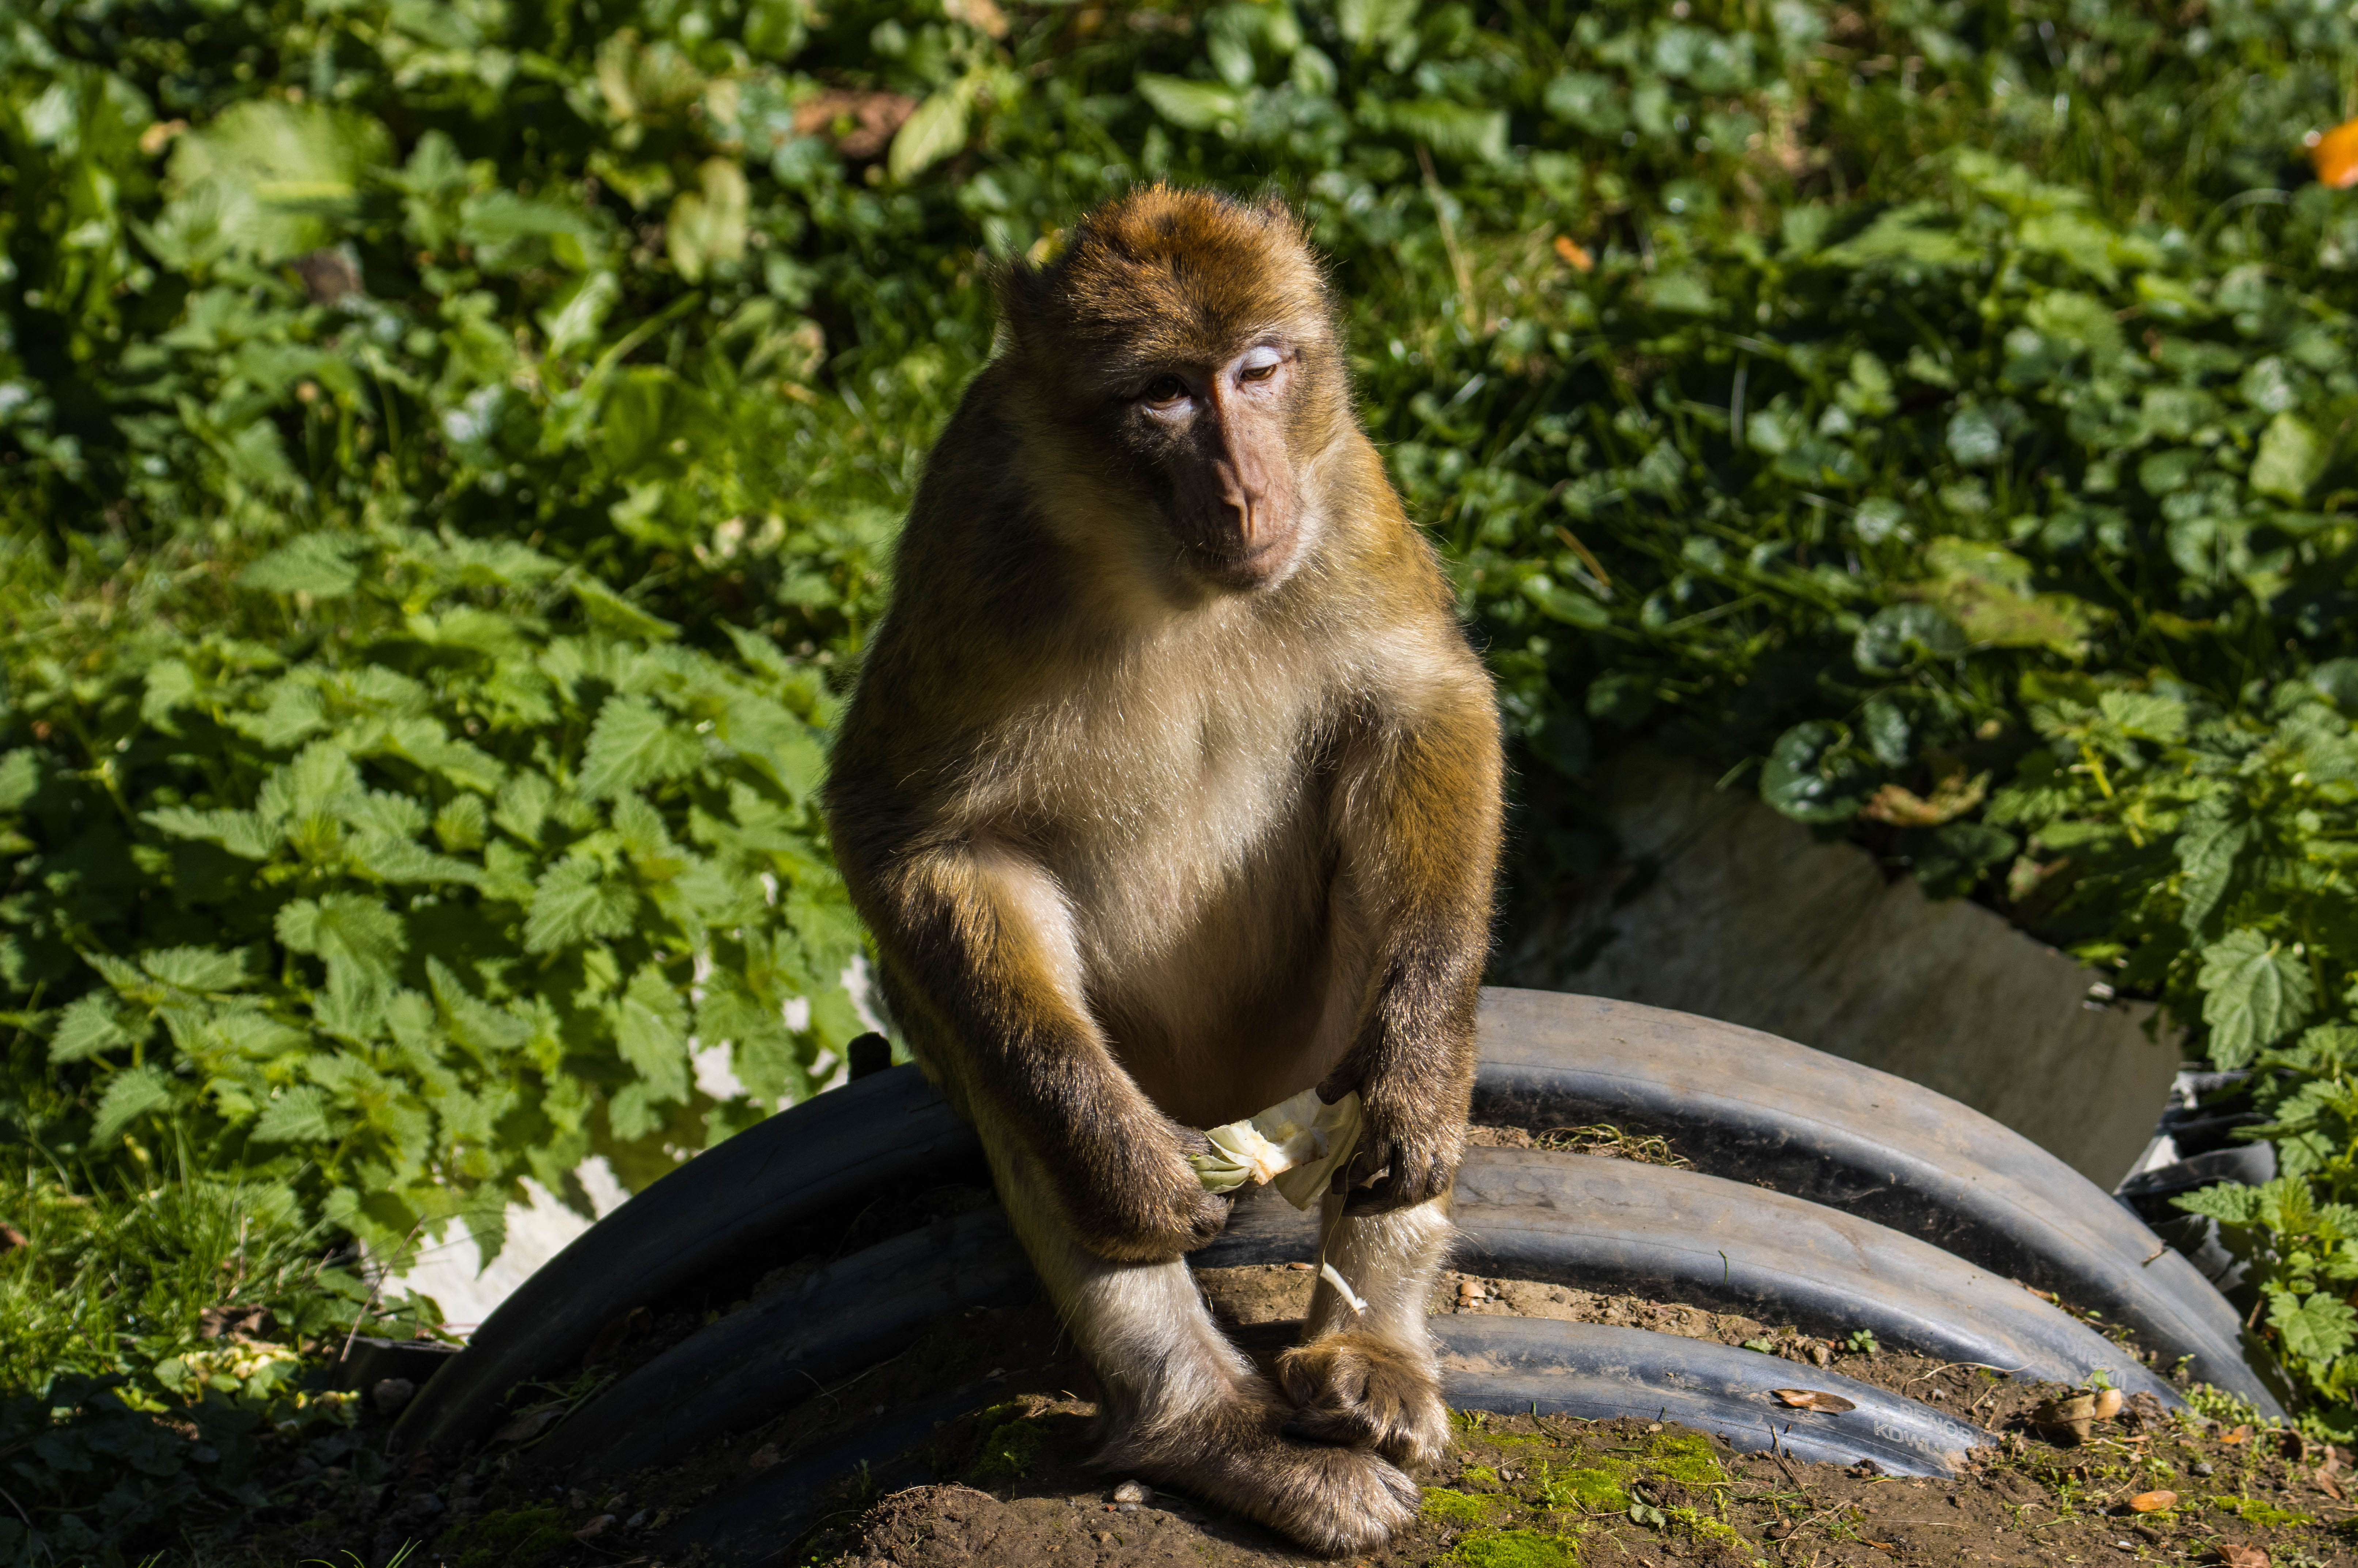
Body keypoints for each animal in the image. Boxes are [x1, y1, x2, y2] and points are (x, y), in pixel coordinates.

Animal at [820, 186, 1500, 1556]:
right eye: (1164, 396)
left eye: (1259, 369)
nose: (1246, 491)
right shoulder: (973, 535)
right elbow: (914, 836)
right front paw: (1121, 1178)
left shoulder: (1344, 488)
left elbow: (1422, 708)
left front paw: (1418, 1069)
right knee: (1011, 1066)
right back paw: (1214, 1428)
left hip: (1297, 1050)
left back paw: (1367, 1350)